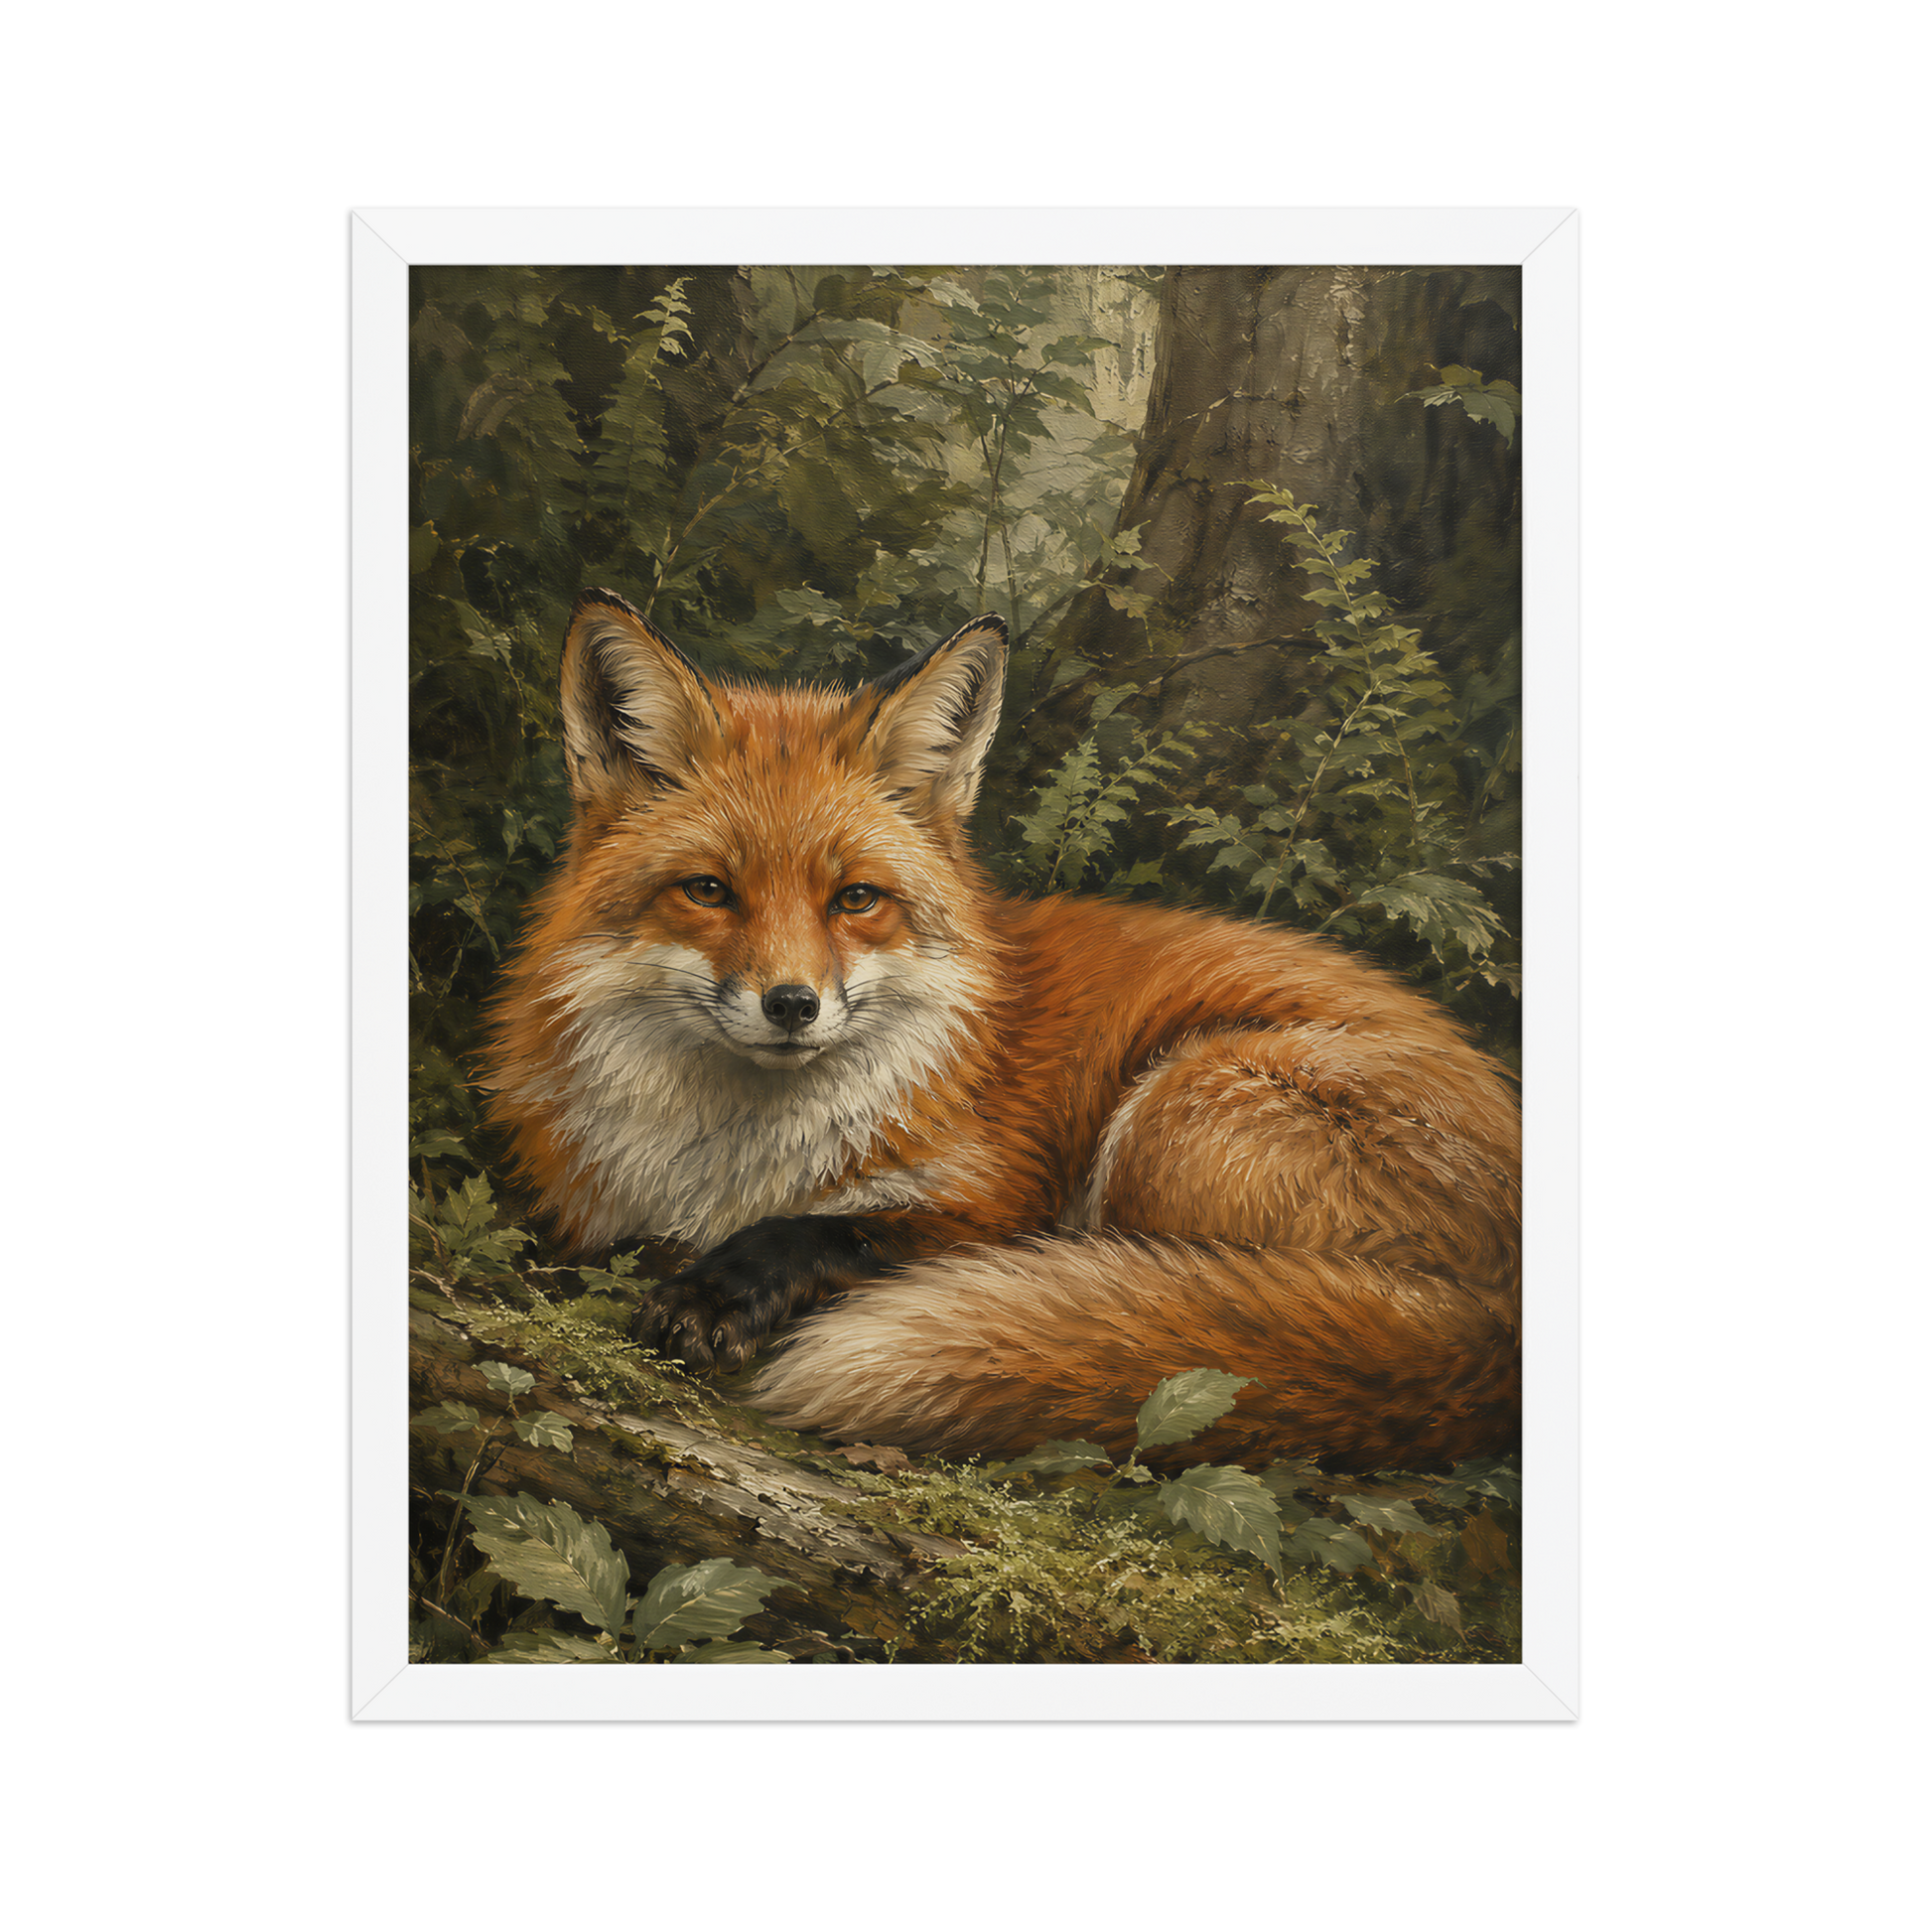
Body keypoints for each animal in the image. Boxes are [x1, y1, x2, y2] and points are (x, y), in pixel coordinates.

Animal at [483, 588, 1521, 1474]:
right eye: (708, 891)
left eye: (856, 899)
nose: (792, 1004)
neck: (729, 1161)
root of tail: (1499, 1333)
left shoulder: (995, 1207)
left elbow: (839, 1233)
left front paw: (718, 1291)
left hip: (1175, 1109)